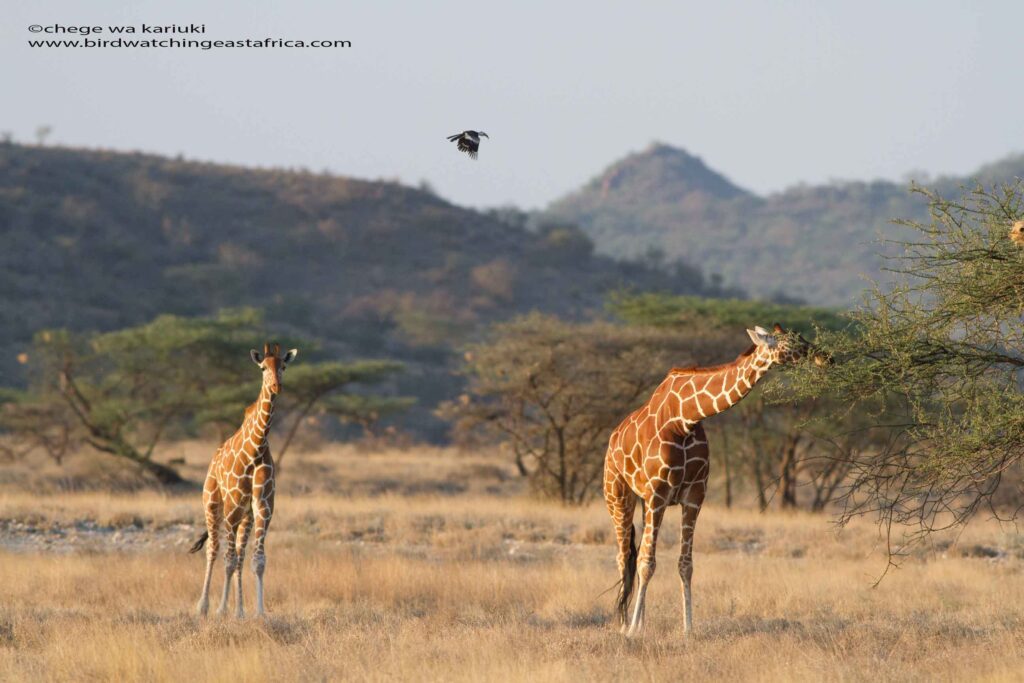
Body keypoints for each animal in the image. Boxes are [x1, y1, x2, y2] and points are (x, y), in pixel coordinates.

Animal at [190, 344, 299, 618]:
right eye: (262, 368)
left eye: (283, 366)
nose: (276, 387)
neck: (256, 449)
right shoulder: (232, 508)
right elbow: (226, 560)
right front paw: (220, 610)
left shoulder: (263, 507)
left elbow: (257, 561)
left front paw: (258, 612)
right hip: (212, 504)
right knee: (214, 550)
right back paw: (203, 607)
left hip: (246, 517)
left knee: (239, 554)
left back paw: (239, 610)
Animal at [602, 323, 827, 638]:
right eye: (792, 342)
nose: (826, 358)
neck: (685, 419)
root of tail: (612, 440)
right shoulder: (659, 494)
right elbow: (647, 562)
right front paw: (633, 631)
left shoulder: (693, 496)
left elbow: (685, 564)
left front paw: (688, 629)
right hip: (618, 495)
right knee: (624, 557)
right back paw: (625, 624)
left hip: (644, 502)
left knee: (638, 552)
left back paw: (641, 621)